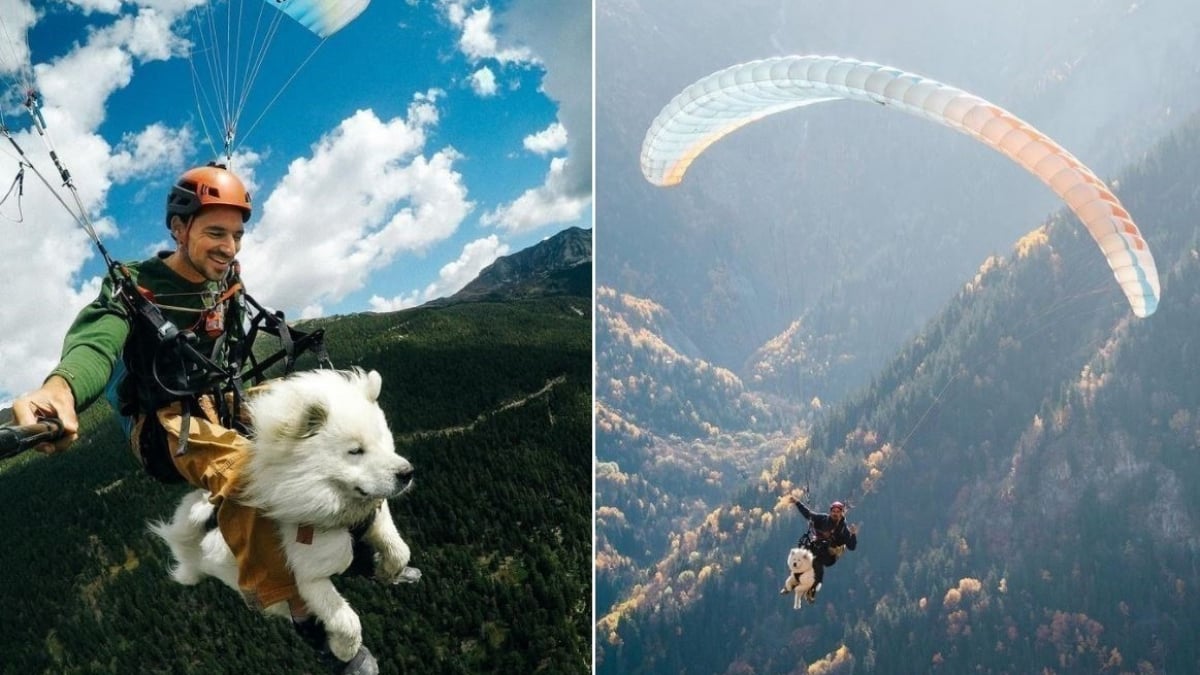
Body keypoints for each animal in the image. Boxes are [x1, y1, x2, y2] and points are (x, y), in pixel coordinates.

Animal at [150, 367, 417, 667]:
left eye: (384, 440)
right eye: (355, 451)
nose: (407, 473)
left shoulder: (375, 517)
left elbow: (399, 548)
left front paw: (387, 570)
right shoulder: (308, 575)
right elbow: (345, 618)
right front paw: (345, 650)